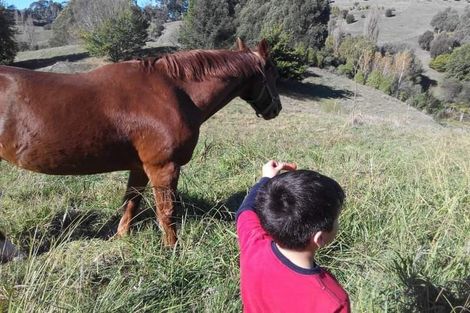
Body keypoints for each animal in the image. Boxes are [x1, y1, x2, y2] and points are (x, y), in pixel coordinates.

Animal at [0, 37, 280, 251]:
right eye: (271, 71)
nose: (275, 109)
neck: (170, 92)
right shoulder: (163, 167)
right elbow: (166, 212)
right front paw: (172, 249)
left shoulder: (139, 167)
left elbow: (131, 203)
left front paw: (122, 238)